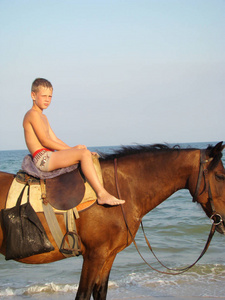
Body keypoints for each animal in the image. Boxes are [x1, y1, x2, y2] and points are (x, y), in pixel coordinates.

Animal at [0, 141, 225, 300]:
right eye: (221, 176)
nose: (223, 222)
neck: (120, 190)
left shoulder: (108, 255)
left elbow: (100, 292)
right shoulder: (94, 255)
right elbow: (83, 295)